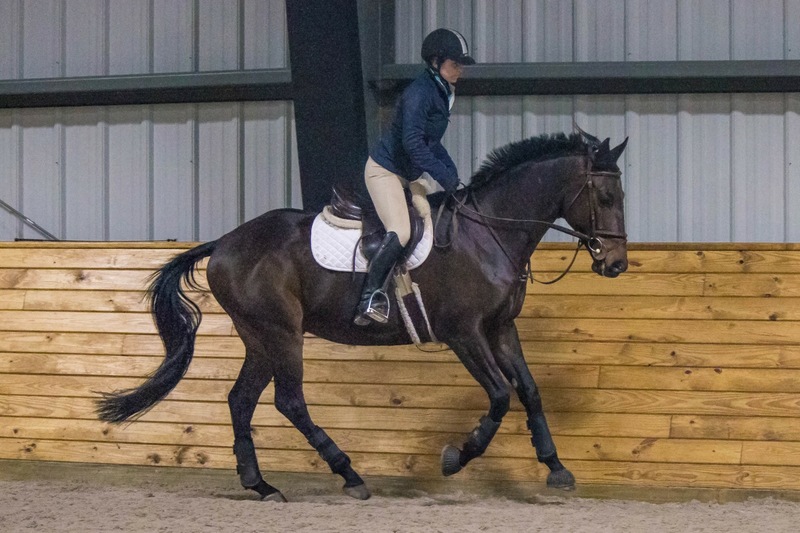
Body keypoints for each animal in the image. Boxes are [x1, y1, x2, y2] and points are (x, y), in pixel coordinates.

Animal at [95, 128, 632, 498]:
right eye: (606, 196)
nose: (615, 264)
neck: (490, 233)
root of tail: (224, 242)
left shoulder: (501, 328)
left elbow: (529, 390)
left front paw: (556, 468)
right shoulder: (464, 333)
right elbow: (501, 395)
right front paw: (456, 457)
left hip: (260, 336)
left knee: (241, 400)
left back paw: (261, 485)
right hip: (282, 332)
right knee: (289, 400)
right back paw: (348, 473)